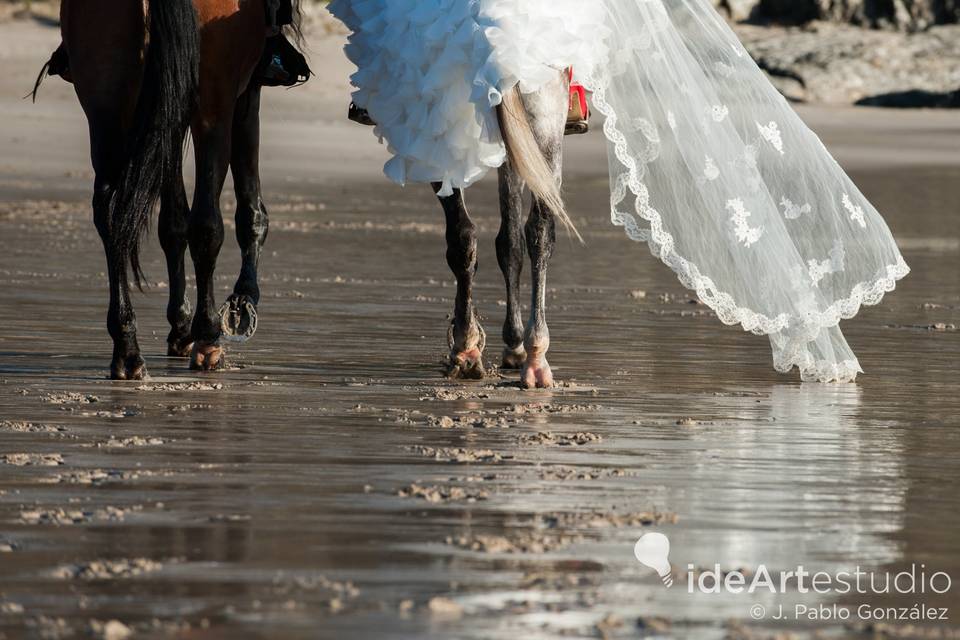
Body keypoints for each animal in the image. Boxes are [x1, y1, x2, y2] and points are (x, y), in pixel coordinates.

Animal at [55, 0, 270, 378]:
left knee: (110, 215)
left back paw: (127, 348)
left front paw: (180, 325)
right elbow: (248, 210)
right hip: (212, 108)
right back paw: (208, 338)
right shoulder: (244, 92)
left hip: (106, 102)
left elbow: (172, 223)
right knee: (207, 223)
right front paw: (241, 301)